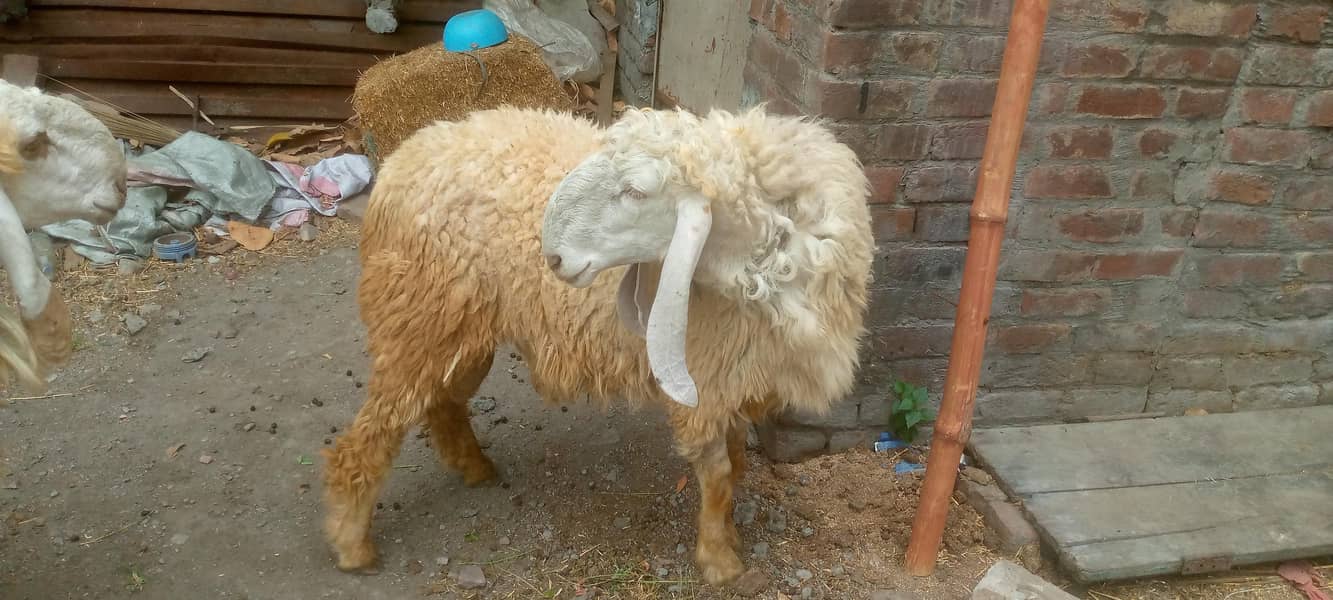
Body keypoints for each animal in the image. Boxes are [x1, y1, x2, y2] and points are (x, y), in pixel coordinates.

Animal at [321, 105, 873, 585]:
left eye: (636, 191)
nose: (553, 257)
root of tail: (403, 159)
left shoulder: (735, 378)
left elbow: (737, 464)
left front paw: (731, 535)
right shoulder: (706, 382)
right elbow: (717, 476)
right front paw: (720, 560)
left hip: (458, 327)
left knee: (444, 402)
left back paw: (473, 468)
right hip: (415, 317)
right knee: (370, 436)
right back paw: (352, 544)